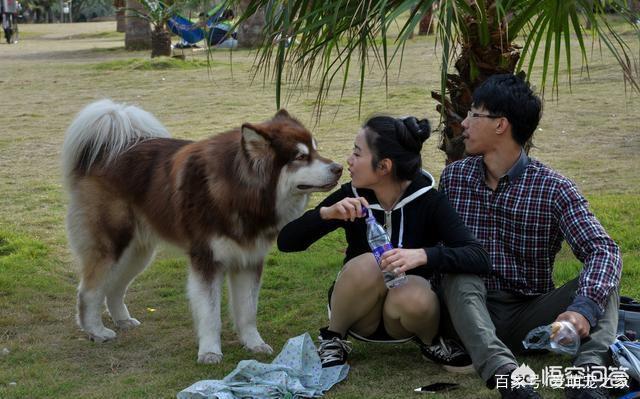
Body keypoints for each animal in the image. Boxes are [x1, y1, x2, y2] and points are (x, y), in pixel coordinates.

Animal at [62, 101, 342, 366]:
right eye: (300, 157)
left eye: (316, 150)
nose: (339, 167)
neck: (238, 192)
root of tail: (106, 150)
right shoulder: (206, 261)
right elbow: (210, 315)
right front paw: (209, 352)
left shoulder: (249, 261)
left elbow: (247, 311)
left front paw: (254, 343)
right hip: (112, 246)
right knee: (89, 290)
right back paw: (96, 331)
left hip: (137, 253)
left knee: (115, 288)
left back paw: (123, 320)